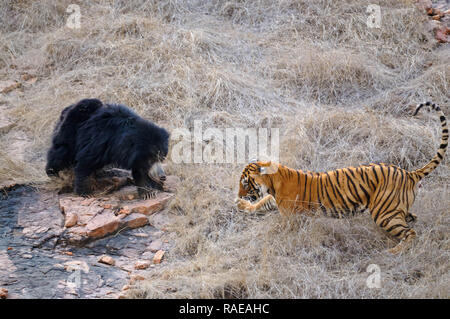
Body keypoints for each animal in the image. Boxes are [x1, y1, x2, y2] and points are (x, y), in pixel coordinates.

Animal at [236, 102, 446, 255]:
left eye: (245, 183)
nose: (238, 194)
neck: (274, 181)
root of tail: (409, 173)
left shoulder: (291, 216)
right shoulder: (274, 199)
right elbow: (262, 202)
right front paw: (242, 205)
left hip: (384, 213)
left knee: (410, 232)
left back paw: (394, 251)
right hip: (395, 209)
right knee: (412, 219)